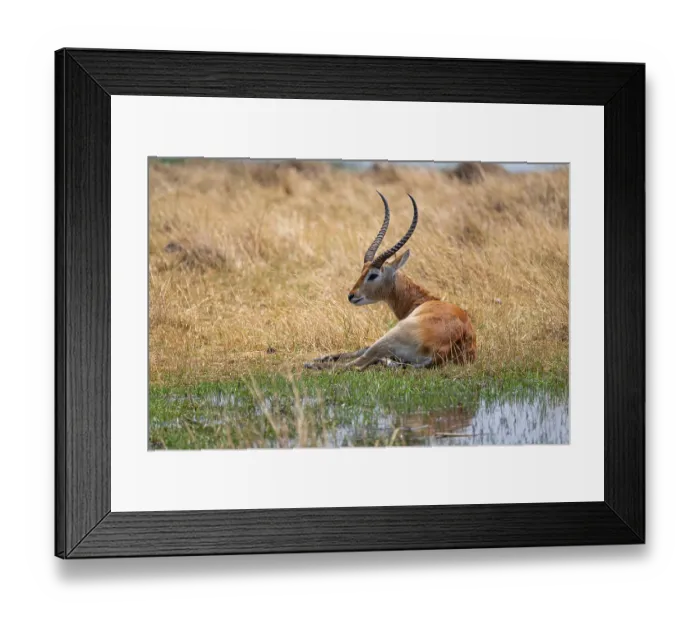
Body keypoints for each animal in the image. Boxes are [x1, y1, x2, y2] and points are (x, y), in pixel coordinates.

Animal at [305, 192, 476, 371]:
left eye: (373, 275)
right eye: (362, 270)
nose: (351, 295)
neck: (425, 301)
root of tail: (443, 350)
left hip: (389, 336)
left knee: (356, 364)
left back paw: (311, 364)